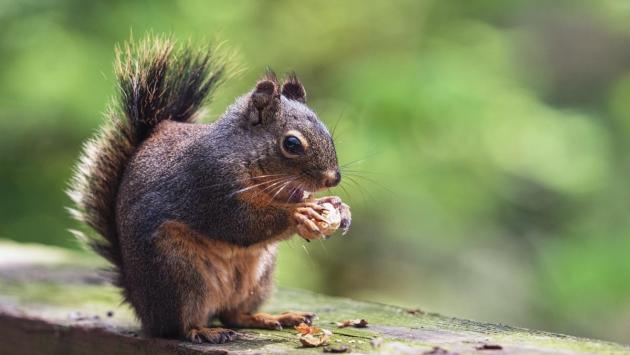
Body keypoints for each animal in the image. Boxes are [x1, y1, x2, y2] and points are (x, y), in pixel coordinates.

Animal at [69, 36, 356, 344]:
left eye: (327, 132)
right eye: (291, 144)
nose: (333, 179)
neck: (245, 155)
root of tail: (142, 308)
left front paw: (337, 207)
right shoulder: (210, 185)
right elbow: (242, 223)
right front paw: (300, 212)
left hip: (258, 277)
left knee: (235, 315)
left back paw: (274, 317)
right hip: (178, 274)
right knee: (179, 326)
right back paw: (204, 330)